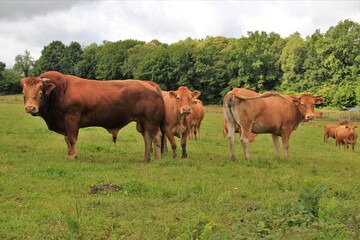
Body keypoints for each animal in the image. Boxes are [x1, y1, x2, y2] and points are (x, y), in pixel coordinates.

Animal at [20, 71, 165, 161]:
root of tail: (149, 83)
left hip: (151, 121)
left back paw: (157, 159)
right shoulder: (64, 124)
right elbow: (67, 140)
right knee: (147, 139)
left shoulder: (71, 119)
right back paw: (146, 158)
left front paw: (72, 156)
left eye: (40, 92)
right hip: (143, 122)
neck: (60, 91)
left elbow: (72, 139)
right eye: (23, 92)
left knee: (156, 137)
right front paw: (68, 154)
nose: (30, 108)